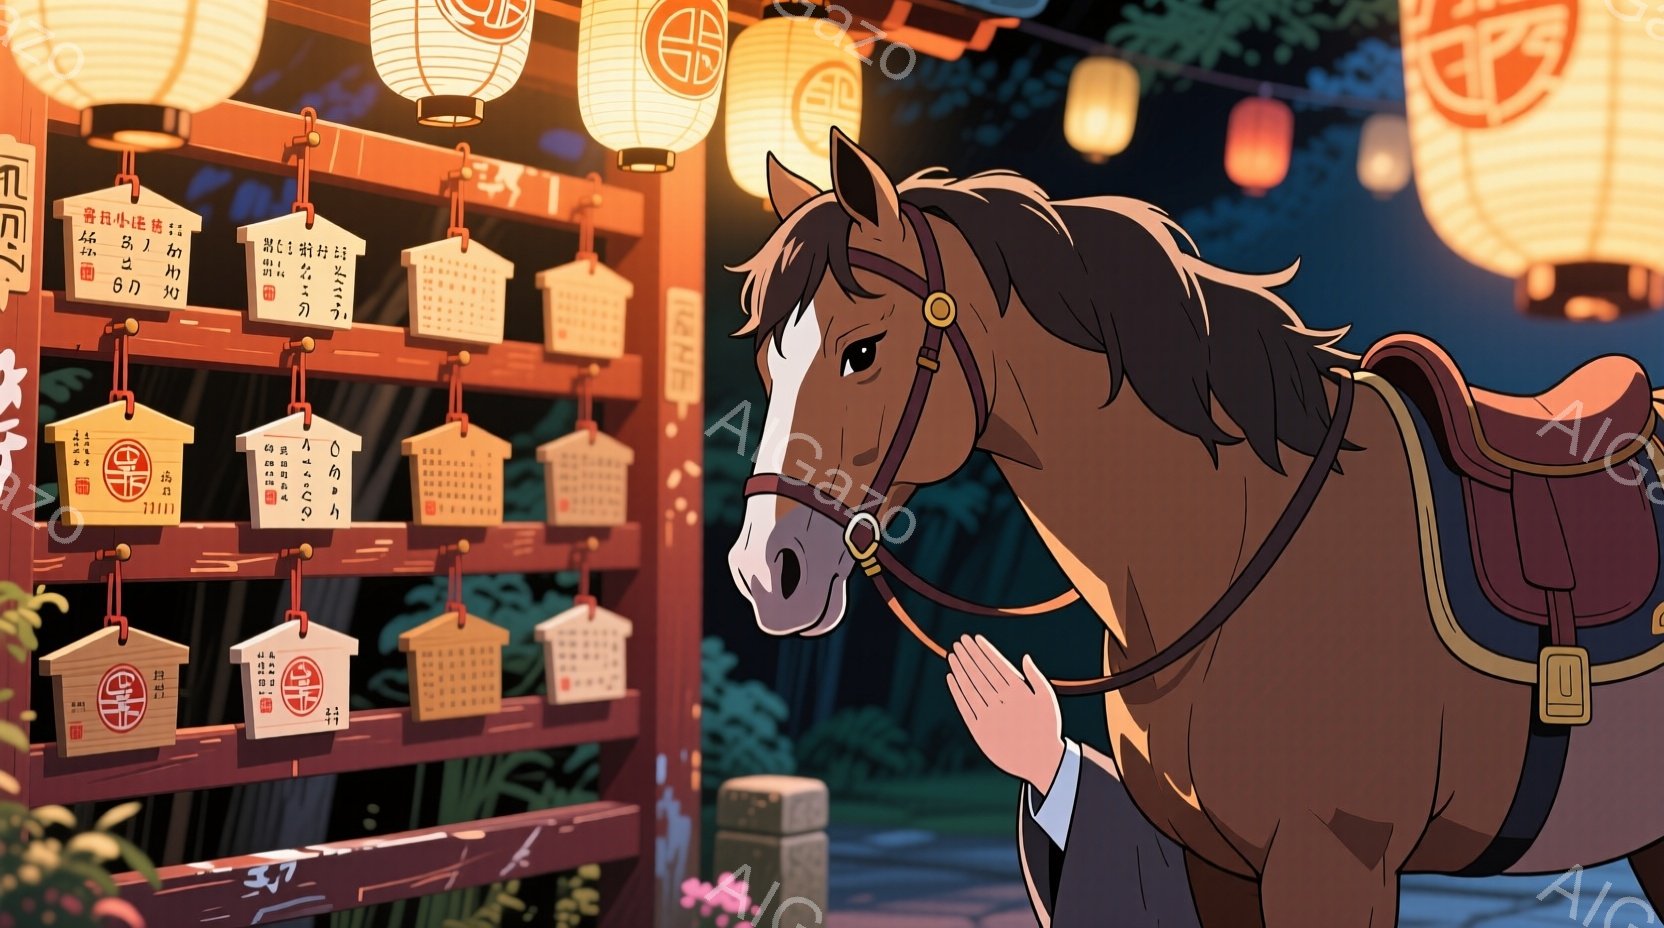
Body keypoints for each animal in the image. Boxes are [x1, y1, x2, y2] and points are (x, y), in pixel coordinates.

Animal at [724, 128, 1664, 926]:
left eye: (862, 352)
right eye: (770, 360)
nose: (767, 571)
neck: (1235, 548)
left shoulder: (1333, 860)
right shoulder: (1215, 863)